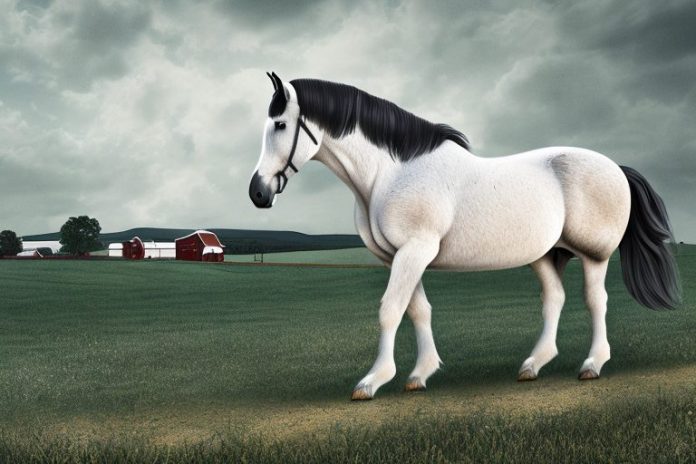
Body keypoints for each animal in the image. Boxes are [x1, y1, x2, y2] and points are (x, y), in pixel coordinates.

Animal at [249, 72, 680, 400]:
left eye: (281, 125)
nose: (258, 193)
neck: (391, 173)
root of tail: (617, 167)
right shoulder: (401, 256)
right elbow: (418, 310)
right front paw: (420, 375)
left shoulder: (415, 251)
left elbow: (391, 309)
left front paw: (372, 381)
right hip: (544, 254)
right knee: (554, 299)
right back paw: (533, 365)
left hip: (594, 254)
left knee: (596, 300)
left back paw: (592, 364)